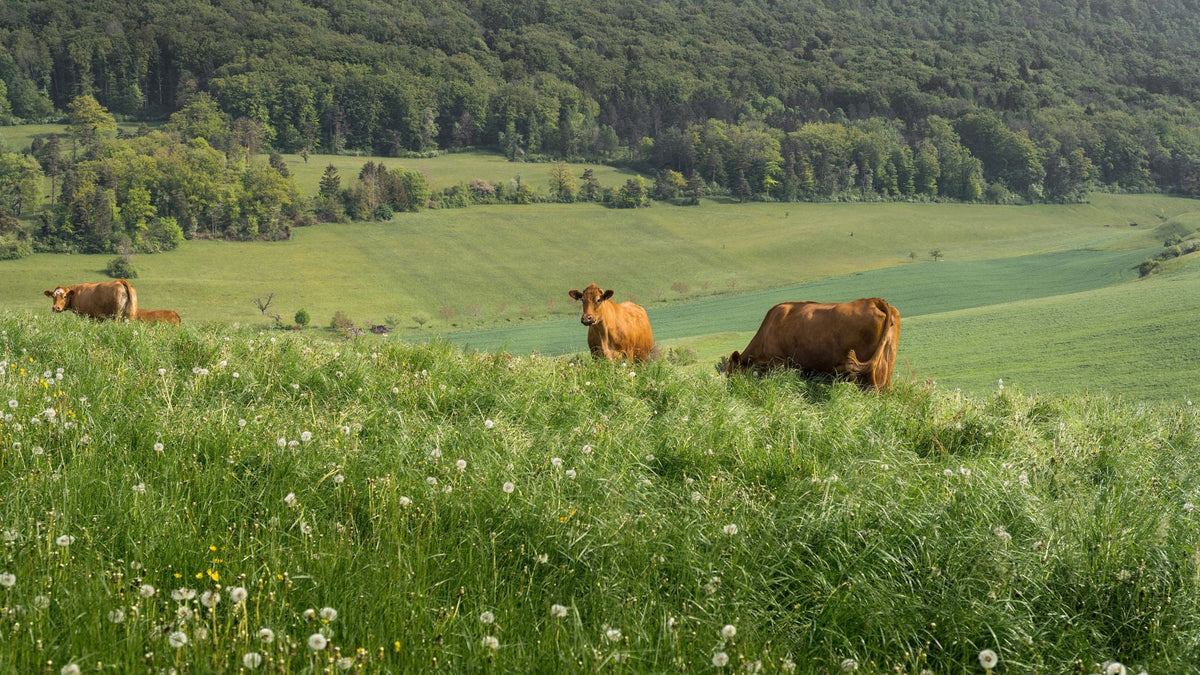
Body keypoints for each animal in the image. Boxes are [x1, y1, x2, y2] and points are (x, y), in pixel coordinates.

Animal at [726, 297, 901, 391]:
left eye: (732, 374)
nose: (731, 392)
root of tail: (873, 301)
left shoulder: (778, 365)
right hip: (887, 369)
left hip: (866, 377)